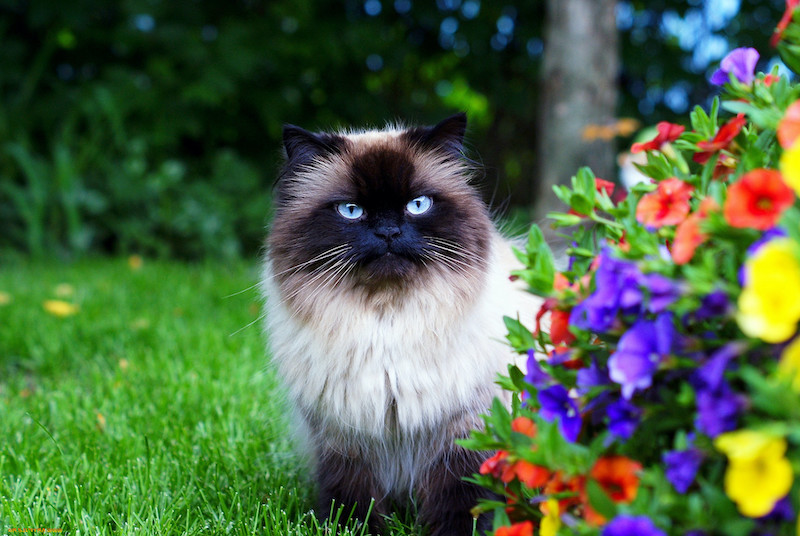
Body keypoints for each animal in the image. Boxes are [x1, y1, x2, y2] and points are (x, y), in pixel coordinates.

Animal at [260, 114, 540, 536]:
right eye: (351, 210)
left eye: (417, 205)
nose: (388, 232)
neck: (388, 325)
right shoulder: (345, 443)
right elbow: (352, 508)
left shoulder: (462, 434)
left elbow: (463, 503)